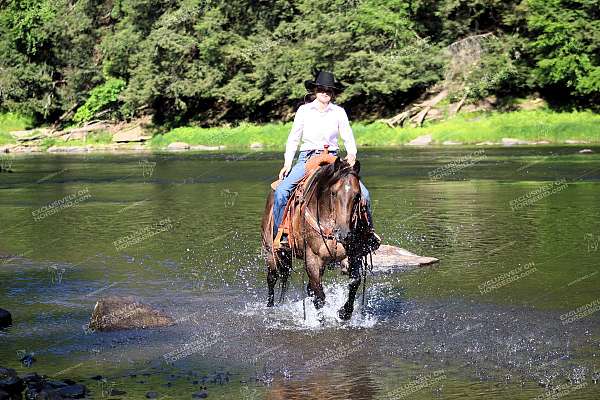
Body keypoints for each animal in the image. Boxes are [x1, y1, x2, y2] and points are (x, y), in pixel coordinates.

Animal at [262, 155, 372, 320]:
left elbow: (355, 281)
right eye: (334, 193)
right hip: (271, 251)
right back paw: (270, 307)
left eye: (357, 195)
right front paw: (320, 321)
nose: (344, 234)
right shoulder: (312, 258)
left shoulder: (354, 254)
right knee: (272, 277)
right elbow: (319, 297)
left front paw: (344, 312)